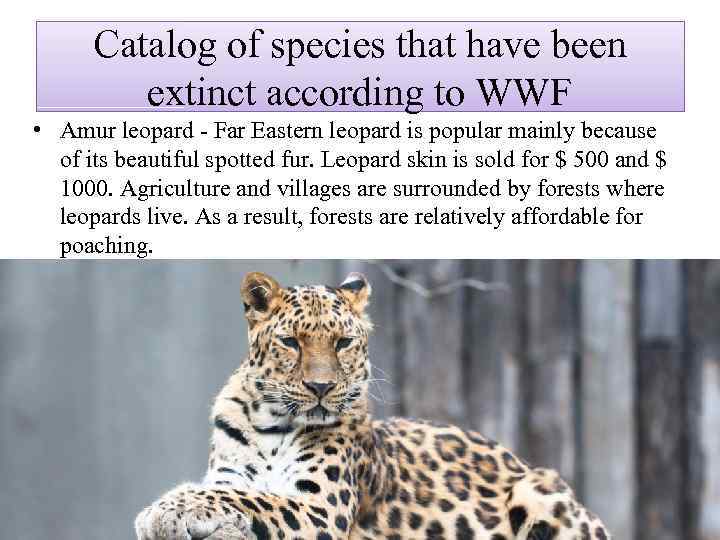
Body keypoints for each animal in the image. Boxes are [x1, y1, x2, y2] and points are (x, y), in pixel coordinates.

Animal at [135, 271, 610, 540]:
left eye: (343, 342)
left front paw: (162, 511)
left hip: (541, 491)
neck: (273, 424)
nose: (321, 387)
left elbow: (253, 498)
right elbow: (230, 490)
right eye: (291, 342)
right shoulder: (232, 474)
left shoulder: (321, 507)